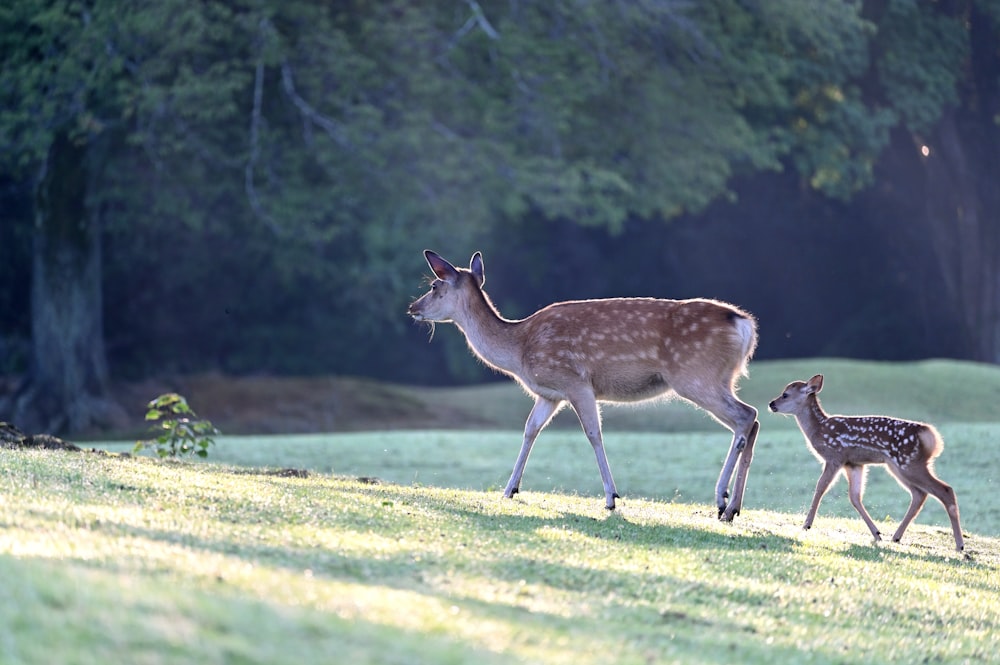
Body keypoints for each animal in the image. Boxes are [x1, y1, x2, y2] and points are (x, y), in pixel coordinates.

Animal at [406, 249, 756, 520]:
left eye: (434, 285)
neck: (519, 349)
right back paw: (733, 508)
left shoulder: (575, 382)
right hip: (719, 378)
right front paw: (509, 489)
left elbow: (593, 433)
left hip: (695, 375)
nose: (412, 308)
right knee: (752, 419)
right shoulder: (550, 394)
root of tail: (745, 325)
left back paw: (722, 500)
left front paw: (611, 498)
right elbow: (530, 429)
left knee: (746, 416)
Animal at [768, 374, 964, 548]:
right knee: (919, 494)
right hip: (899, 465)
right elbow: (855, 496)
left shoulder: (835, 456)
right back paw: (896, 537)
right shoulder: (854, 464)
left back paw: (959, 545)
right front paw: (877, 534)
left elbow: (821, 487)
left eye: (785, 394)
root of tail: (930, 436)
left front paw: (806, 524)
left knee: (945, 490)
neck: (819, 430)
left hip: (909, 462)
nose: (771, 404)